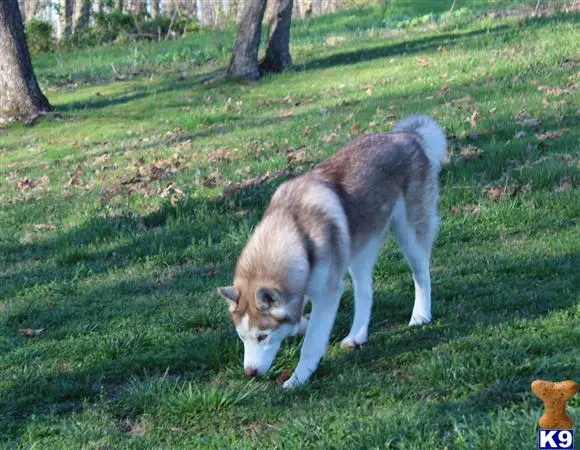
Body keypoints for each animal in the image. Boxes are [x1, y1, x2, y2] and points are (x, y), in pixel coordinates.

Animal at [218, 114, 448, 388]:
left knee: (421, 273)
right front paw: (301, 325)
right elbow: (300, 319)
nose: (250, 373)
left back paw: (421, 315)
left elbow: (311, 343)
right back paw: (357, 335)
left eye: (262, 336)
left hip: (409, 234)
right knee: (365, 291)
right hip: (357, 250)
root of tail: (406, 136)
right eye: (242, 337)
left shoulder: (327, 294)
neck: (297, 232)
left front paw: (298, 379)